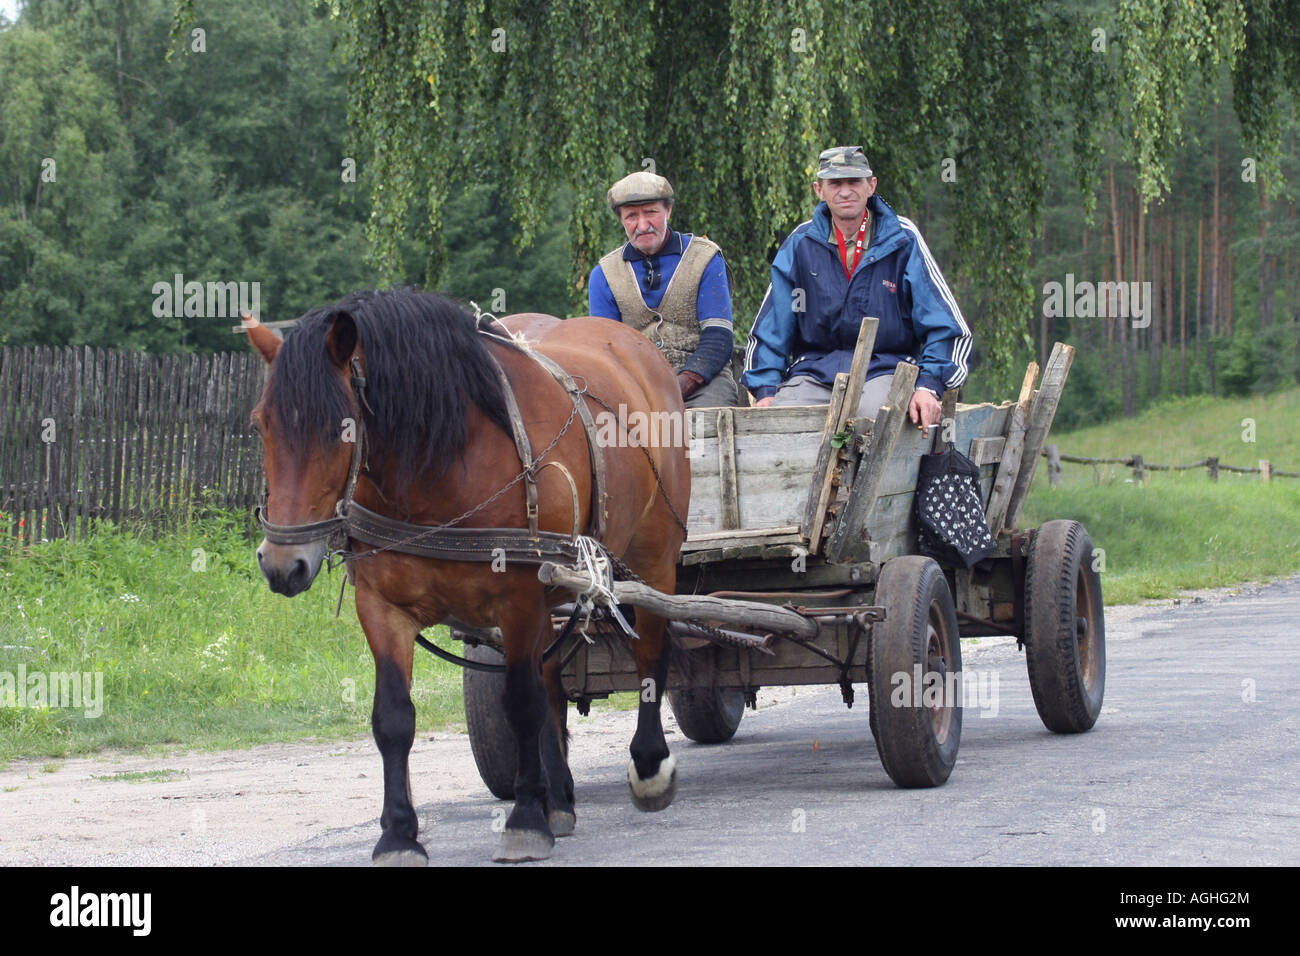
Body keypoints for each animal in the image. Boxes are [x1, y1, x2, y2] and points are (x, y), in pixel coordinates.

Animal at [244, 287, 691, 863]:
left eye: (339, 429)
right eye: (262, 423)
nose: (283, 563)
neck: (440, 468)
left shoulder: (519, 599)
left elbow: (520, 702)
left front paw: (524, 820)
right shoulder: (383, 607)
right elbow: (394, 718)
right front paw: (399, 834)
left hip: (654, 558)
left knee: (650, 653)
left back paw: (648, 765)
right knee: (551, 678)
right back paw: (558, 797)